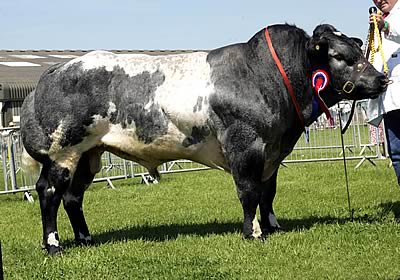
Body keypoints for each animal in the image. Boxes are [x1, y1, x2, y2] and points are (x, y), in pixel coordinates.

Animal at [21, 24, 388, 256]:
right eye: (340, 56)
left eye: (357, 49)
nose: (382, 79)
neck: (268, 78)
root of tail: (52, 73)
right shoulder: (245, 145)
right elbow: (249, 192)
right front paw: (253, 232)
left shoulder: (272, 153)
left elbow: (268, 193)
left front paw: (273, 227)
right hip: (63, 153)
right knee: (49, 193)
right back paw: (53, 245)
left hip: (89, 155)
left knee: (73, 197)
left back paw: (85, 238)